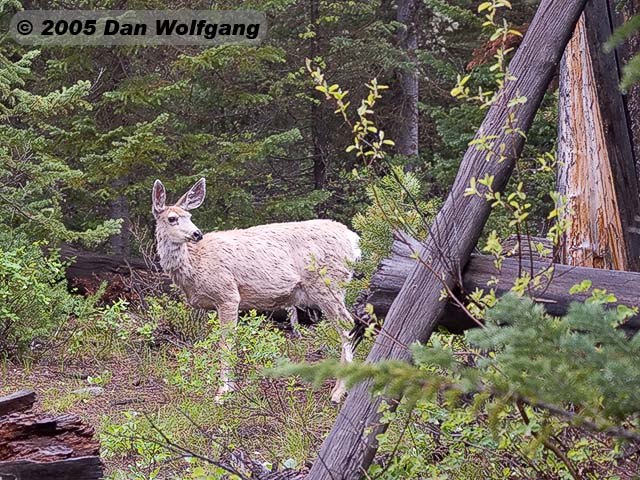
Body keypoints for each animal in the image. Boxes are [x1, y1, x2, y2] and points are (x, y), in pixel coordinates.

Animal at [151, 176, 360, 402]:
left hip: (328, 284)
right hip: (336, 286)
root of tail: (353, 240)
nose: (197, 233)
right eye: (172, 218)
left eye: (189, 216)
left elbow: (226, 342)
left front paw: (223, 392)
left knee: (347, 325)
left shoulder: (228, 293)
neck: (195, 264)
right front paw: (229, 388)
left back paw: (339, 391)